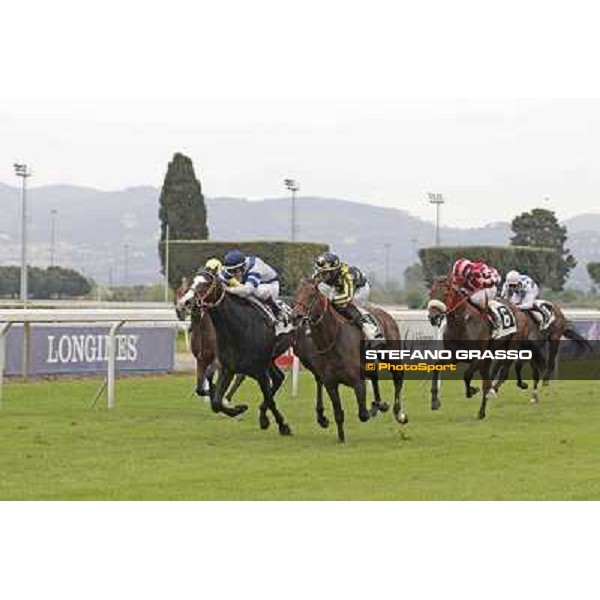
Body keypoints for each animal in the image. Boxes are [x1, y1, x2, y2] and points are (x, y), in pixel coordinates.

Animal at [292, 278, 408, 442]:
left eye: (311, 295)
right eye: (296, 293)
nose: (296, 316)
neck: (333, 340)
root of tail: (387, 315)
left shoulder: (358, 382)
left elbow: (363, 414)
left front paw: (376, 408)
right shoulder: (330, 383)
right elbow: (338, 413)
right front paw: (340, 437)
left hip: (392, 357)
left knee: (398, 379)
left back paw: (399, 413)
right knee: (374, 376)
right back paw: (379, 403)